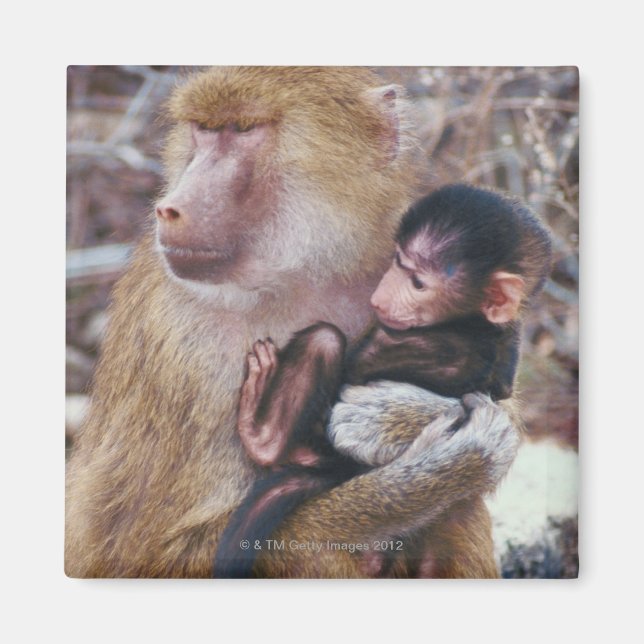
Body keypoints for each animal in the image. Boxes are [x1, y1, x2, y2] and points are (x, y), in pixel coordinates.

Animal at [213, 184, 552, 577]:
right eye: (397, 261)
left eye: (418, 282)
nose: (380, 295)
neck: (473, 324)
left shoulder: (440, 343)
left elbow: (359, 364)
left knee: (326, 340)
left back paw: (264, 439)